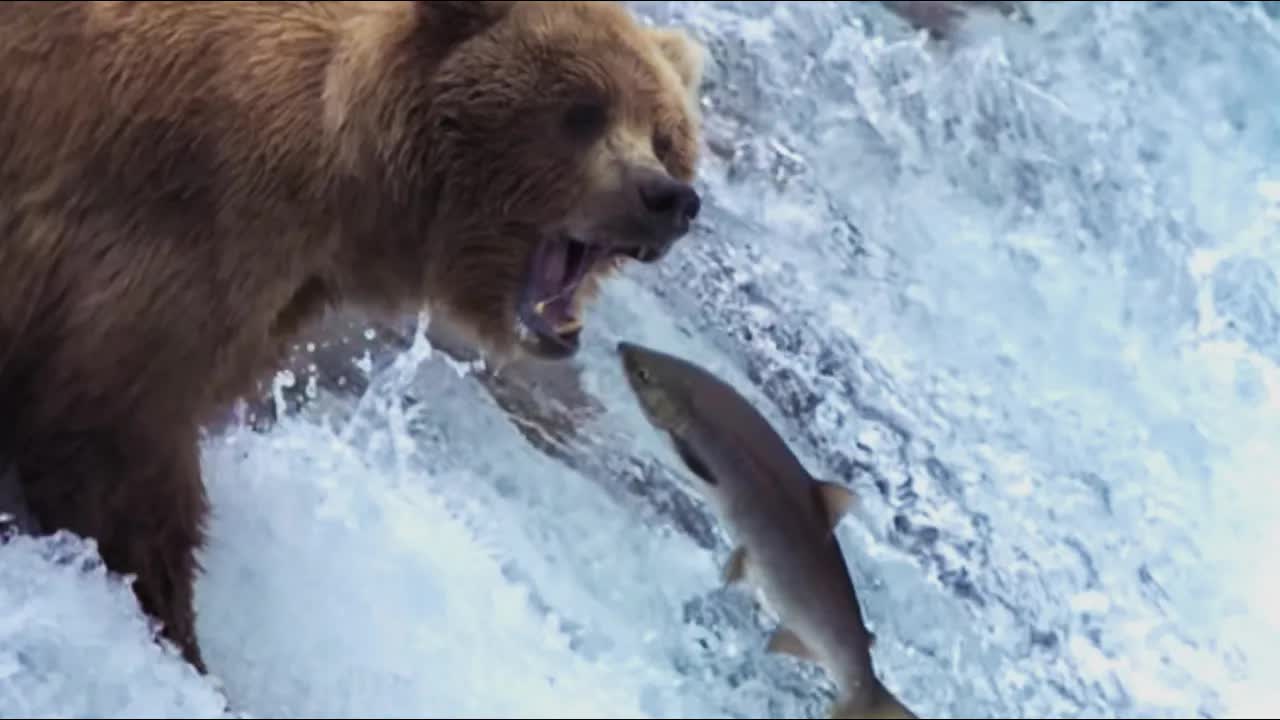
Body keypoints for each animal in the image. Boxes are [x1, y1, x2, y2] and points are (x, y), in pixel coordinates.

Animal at [0, 0, 707, 674]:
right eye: (583, 111)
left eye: (665, 134)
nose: (667, 197)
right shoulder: (175, 223)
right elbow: (113, 445)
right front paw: (181, 641)